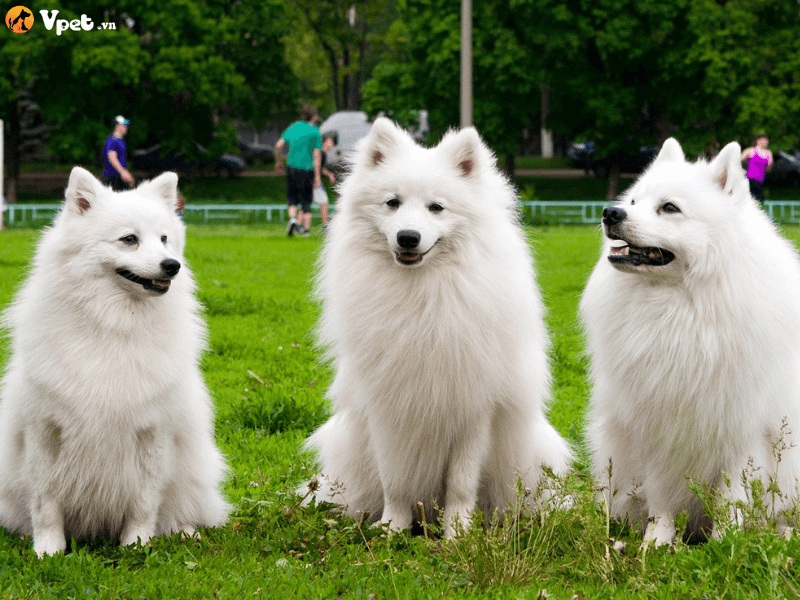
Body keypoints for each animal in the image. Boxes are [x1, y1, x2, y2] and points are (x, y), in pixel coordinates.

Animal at [0, 166, 230, 556]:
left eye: (165, 239)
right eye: (129, 239)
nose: (172, 265)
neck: (114, 326)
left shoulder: (153, 431)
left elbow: (145, 500)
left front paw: (136, 545)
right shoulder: (43, 430)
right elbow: (45, 501)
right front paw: (48, 550)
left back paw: (184, 532)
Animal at [304, 118, 572, 540]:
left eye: (436, 207)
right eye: (392, 203)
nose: (408, 237)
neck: (423, 295)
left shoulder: (473, 410)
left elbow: (461, 484)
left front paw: (457, 534)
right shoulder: (388, 409)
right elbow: (395, 480)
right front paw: (392, 529)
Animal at [580, 138, 800, 548]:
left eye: (669, 208)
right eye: (634, 201)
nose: (610, 212)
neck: (681, 310)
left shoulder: (741, 430)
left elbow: (733, 497)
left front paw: (726, 545)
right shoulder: (657, 430)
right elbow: (661, 496)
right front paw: (657, 542)